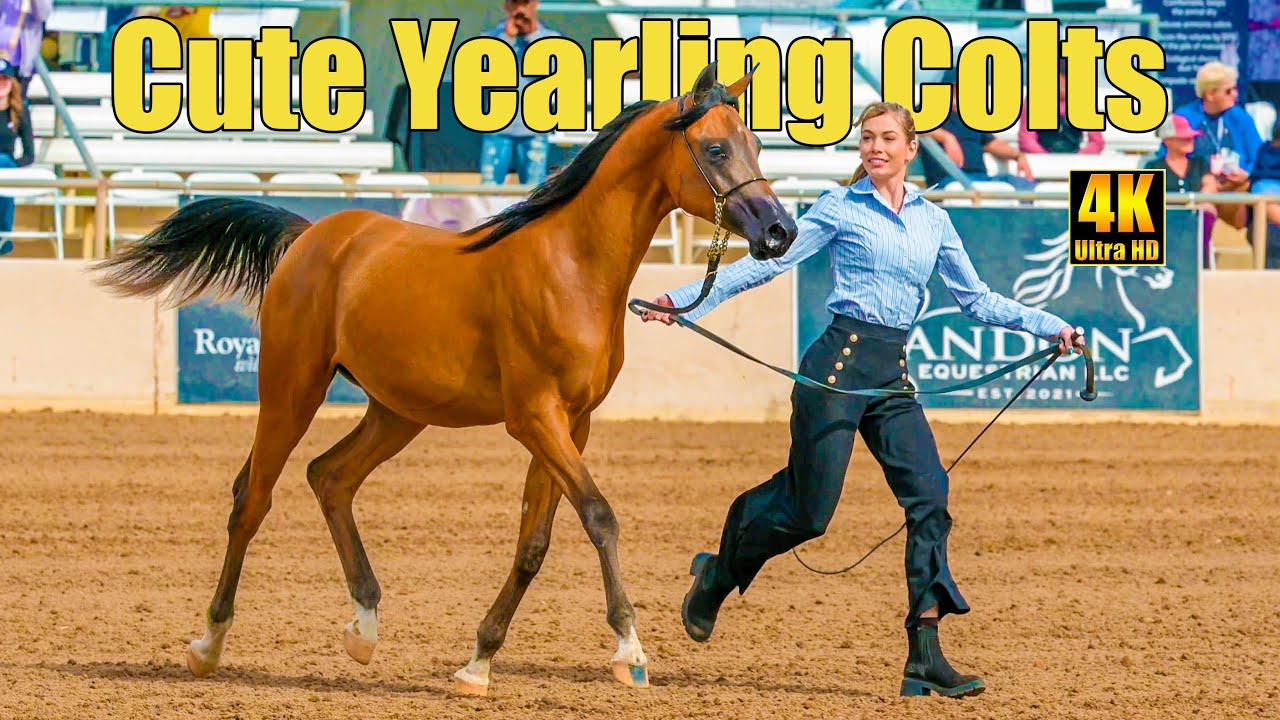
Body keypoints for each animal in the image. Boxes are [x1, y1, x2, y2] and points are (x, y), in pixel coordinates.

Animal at [92, 62, 797, 696]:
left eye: (757, 144)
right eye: (715, 148)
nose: (779, 230)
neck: (571, 266)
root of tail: (313, 235)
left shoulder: (571, 424)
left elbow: (534, 543)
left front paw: (477, 664)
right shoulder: (534, 417)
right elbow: (599, 515)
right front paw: (631, 652)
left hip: (398, 410)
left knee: (330, 477)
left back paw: (364, 628)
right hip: (291, 387)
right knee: (252, 497)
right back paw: (208, 644)